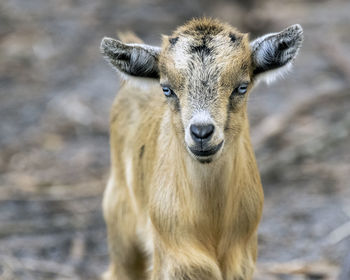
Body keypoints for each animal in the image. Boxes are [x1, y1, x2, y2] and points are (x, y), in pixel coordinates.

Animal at [100, 18, 302, 278]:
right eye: (167, 89)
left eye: (242, 86)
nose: (202, 132)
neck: (212, 223)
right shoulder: (175, 262)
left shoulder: (242, 260)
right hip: (120, 225)